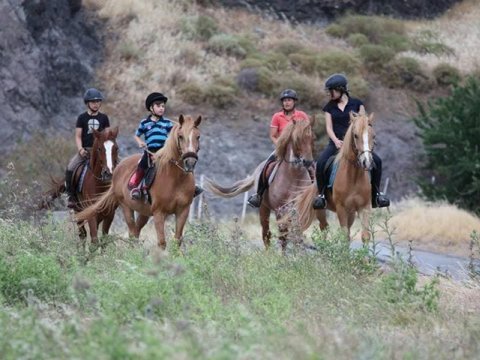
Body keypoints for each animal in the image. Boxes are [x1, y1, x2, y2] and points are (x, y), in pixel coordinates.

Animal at [75, 115, 202, 250]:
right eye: (180, 136)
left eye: (198, 136)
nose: (190, 162)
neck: (176, 179)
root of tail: (118, 168)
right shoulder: (159, 213)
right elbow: (162, 242)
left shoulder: (183, 211)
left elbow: (177, 241)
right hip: (126, 207)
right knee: (132, 233)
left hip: (144, 212)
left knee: (136, 232)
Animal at [205, 118, 316, 250]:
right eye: (297, 139)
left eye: (312, 138)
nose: (308, 162)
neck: (294, 175)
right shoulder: (280, 210)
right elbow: (283, 236)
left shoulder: (298, 210)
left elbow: (297, 235)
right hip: (263, 208)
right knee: (266, 234)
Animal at [292, 112, 376, 242]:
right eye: (355, 135)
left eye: (373, 136)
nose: (366, 162)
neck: (353, 177)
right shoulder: (341, 209)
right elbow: (343, 236)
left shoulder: (364, 207)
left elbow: (365, 236)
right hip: (321, 210)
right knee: (324, 228)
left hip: (351, 213)